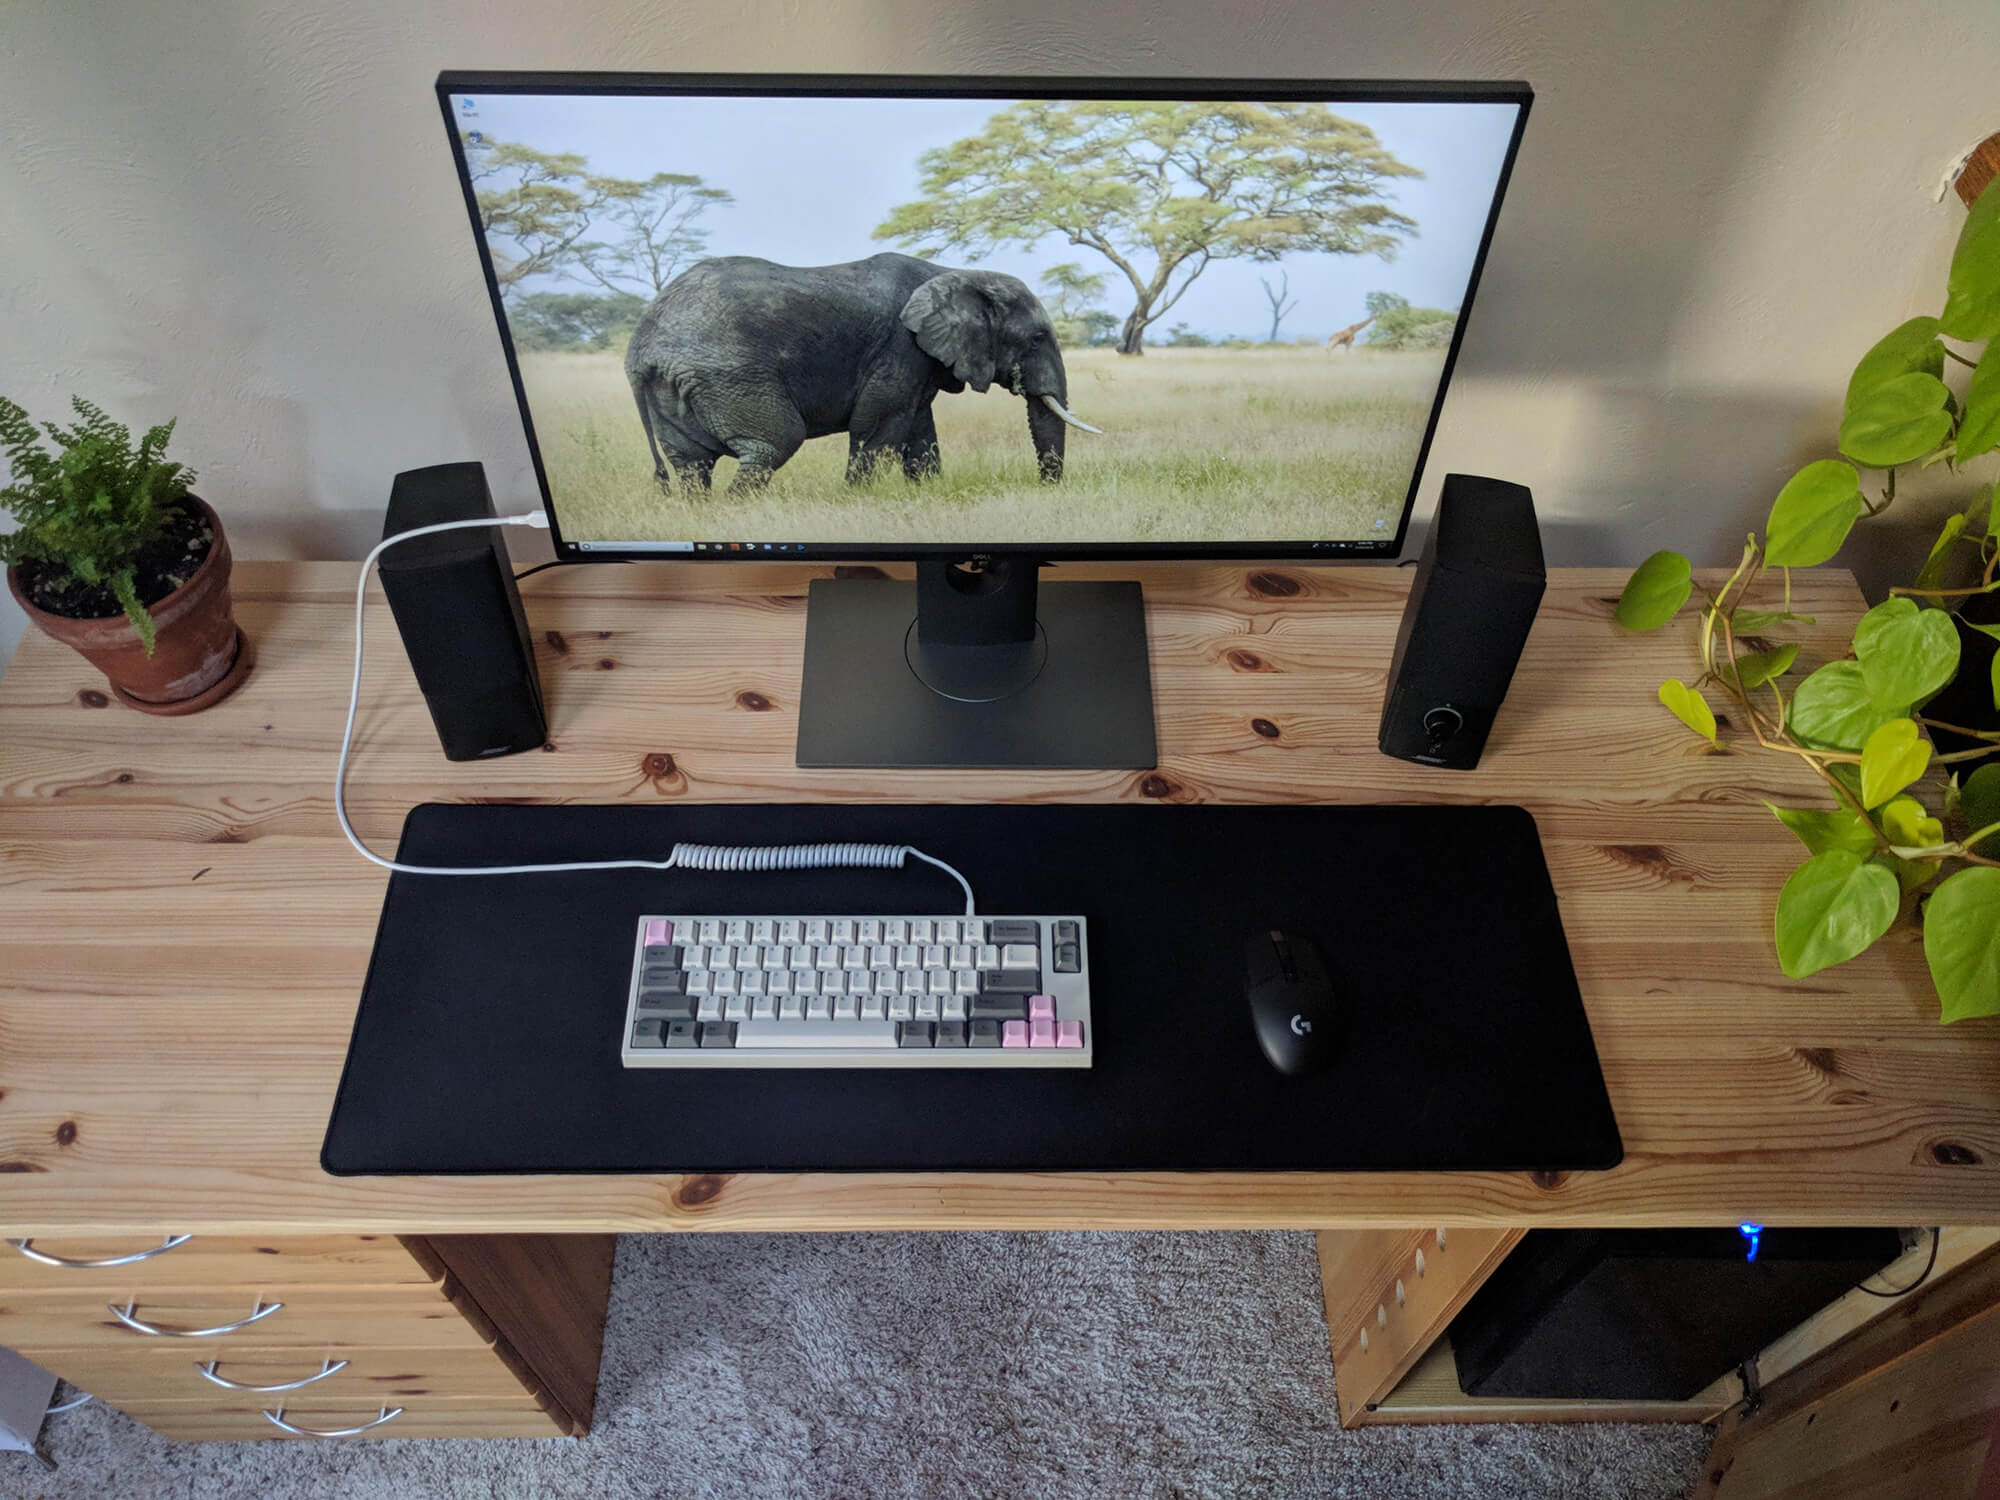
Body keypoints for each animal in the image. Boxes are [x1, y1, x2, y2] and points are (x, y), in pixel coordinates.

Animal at [620, 254, 1104, 494]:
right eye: (1037, 338)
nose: (1047, 489)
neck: (955, 273)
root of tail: (641, 348)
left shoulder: (921, 359)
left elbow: (918, 428)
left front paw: (924, 494)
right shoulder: (900, 346)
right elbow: (878, 425)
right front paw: (857, 496)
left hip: (676, 387)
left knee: (691, 464)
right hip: (728, 376)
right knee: (775, 442)